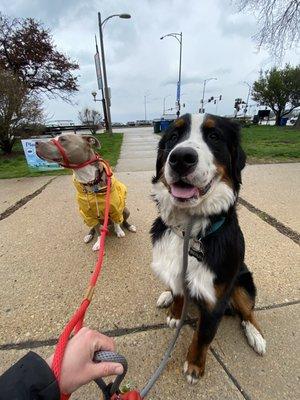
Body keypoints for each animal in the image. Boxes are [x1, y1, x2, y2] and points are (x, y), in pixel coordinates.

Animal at [151, 111, 266, 384]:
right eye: (173, 135)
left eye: (214, 136)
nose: (181, 158)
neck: (189, 232)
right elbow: (179, 294)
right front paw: (175, 313)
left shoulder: (216, 298)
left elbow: (203, 335)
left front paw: (194, 366)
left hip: (241, 283)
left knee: (248, 313)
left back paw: (256, 336)